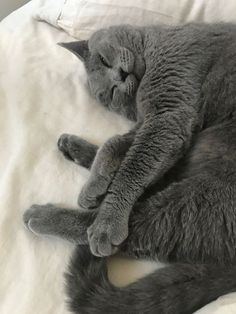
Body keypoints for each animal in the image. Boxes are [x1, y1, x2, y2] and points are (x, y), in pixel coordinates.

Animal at [23, 22, 236, 314]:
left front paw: (106, 218)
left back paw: (51, 218)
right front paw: (96, 182)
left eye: (103, 59)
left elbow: (132, 168)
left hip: (203, 200)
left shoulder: (168, 114)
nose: (120, 76)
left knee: (137, 230)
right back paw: (74, 155)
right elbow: (115, 144)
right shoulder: (156, 120)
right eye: (113, 93)